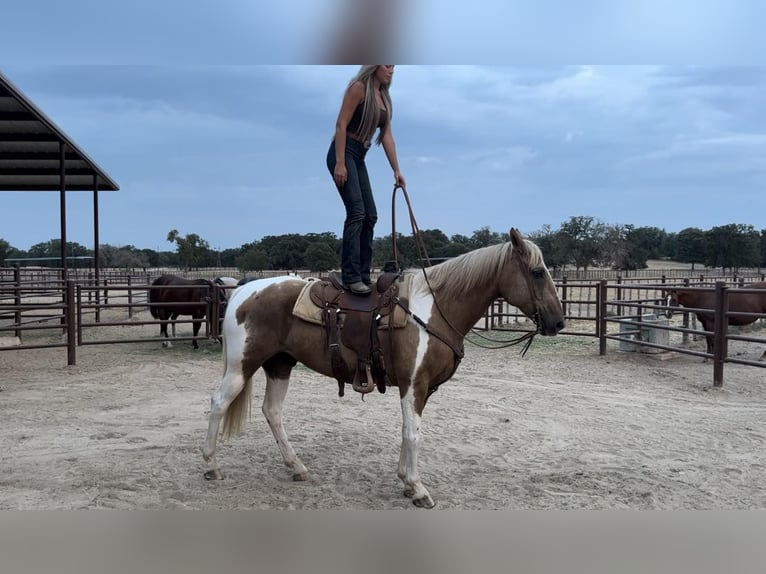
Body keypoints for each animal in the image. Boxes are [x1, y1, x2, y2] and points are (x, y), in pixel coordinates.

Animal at [201, 228, 568, 508]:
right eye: (537, 272)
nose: (558, 322)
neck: (435, 310)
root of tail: (243, 291)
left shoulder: (418, 389)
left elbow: (407, 431)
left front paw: (405, 481)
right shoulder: (414, 384)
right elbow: (414, 433)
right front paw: (418, 488)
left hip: (280, 364)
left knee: (272, 412)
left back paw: (297, 467)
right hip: (243, 364)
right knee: (219, 403)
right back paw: (211, 465)